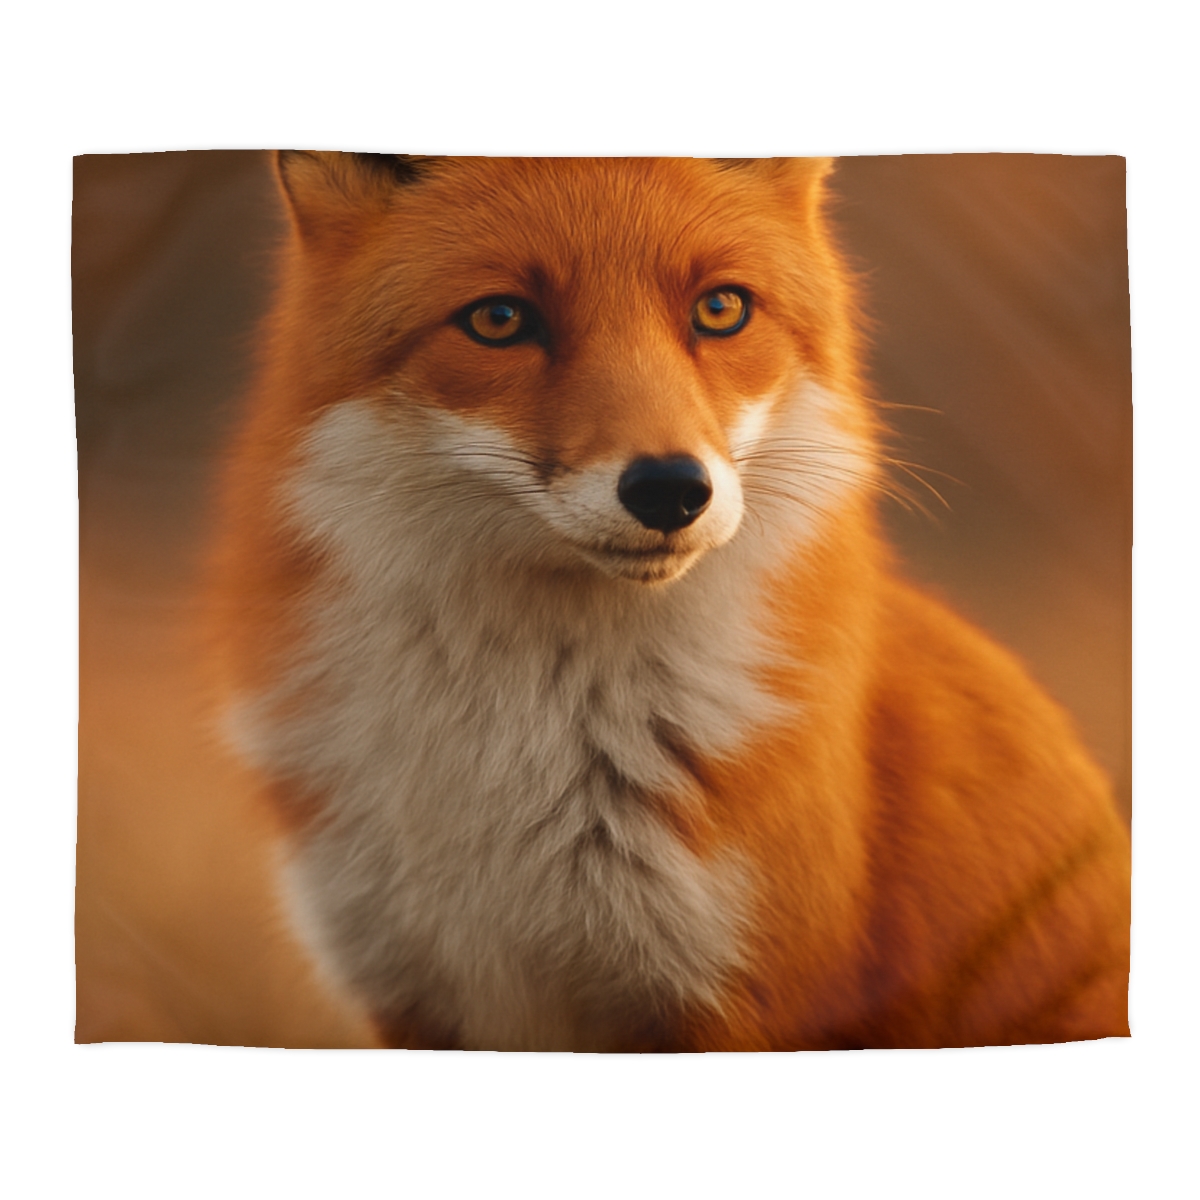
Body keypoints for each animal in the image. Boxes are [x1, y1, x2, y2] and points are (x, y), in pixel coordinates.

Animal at [211, 152, 1131, 1052]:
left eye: (720, 309)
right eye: (500, 319)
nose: (670, 490)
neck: (520, 752)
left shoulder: (740, 1001)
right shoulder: (412, 992)